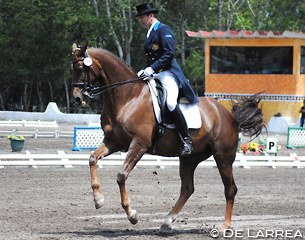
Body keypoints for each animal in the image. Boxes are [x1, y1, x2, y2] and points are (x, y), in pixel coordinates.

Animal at [70, 42, 262, 232]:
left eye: (80, 67)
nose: (77, 99)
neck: (128, 96)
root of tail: (229, 115)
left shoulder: (139, 144)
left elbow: (121, 175)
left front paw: (132, 215)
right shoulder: (114, 142)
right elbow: (92, 158)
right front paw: (98, 199)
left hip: (223, 156)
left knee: (230, 189)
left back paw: (224, 227)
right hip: (189, 159)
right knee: (187, 188)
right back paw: (167, 222)